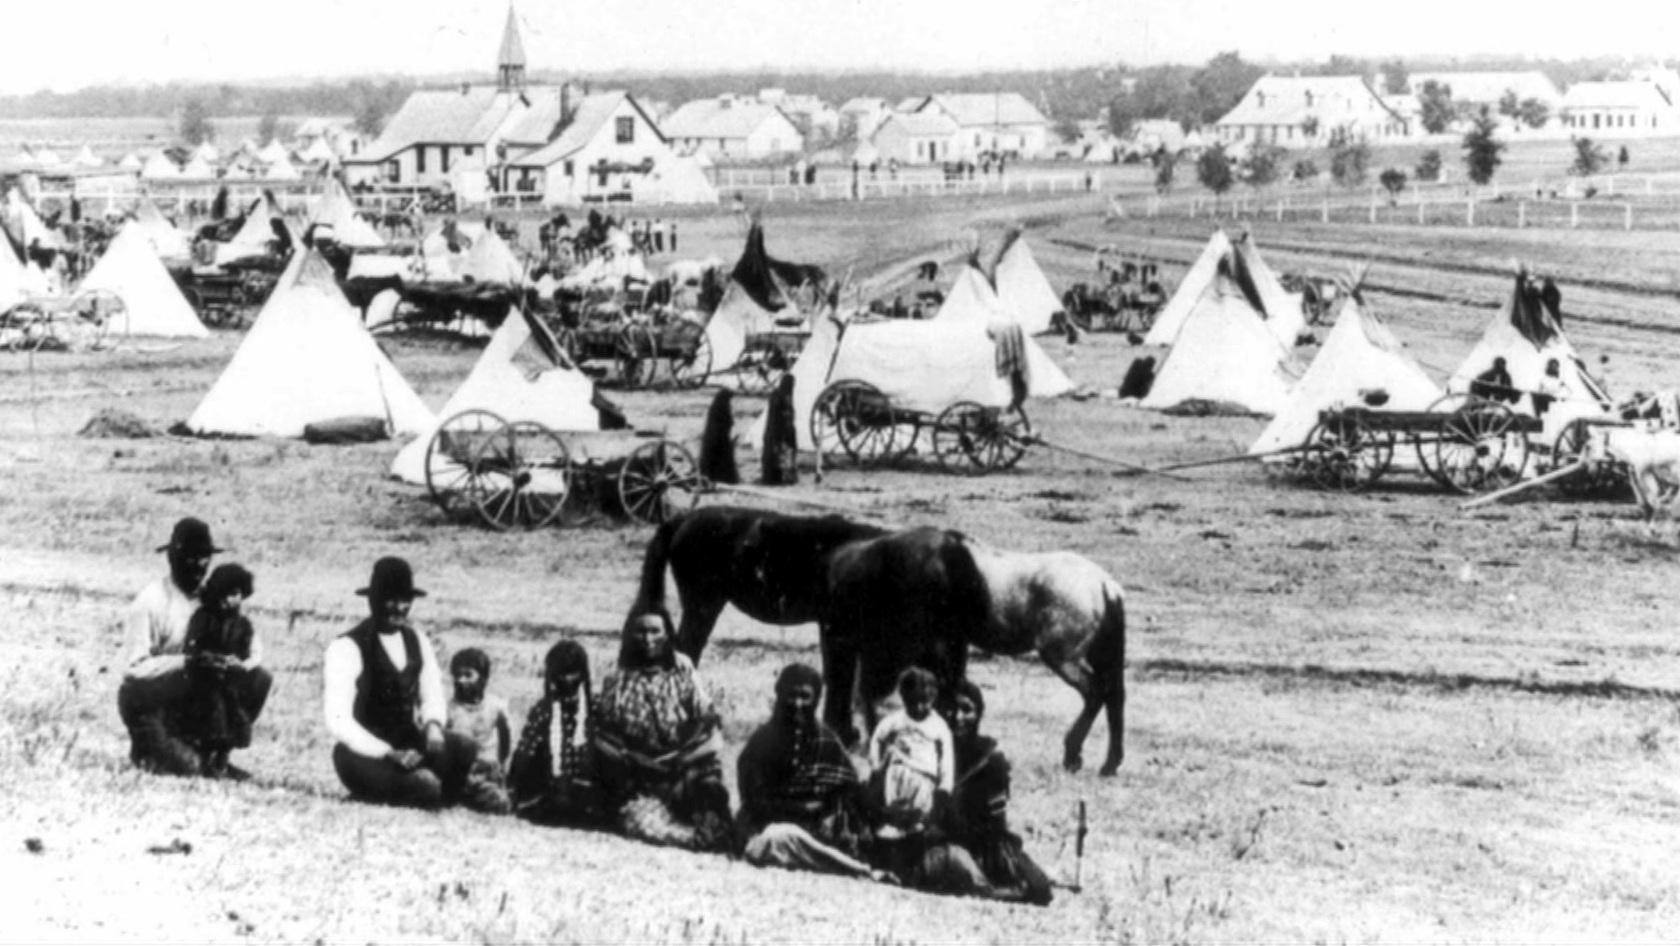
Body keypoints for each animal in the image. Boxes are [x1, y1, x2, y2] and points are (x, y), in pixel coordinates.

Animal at [823, 524, 1128, 776]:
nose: (846, 736)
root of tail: (1104, 584)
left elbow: (946, 698)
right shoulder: (949, 650)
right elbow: (959, 697)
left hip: (1062, 658)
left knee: (1095, 692)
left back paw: (1073, 755)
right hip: (1099, 657)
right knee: (1114, 696)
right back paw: (1109, 764)